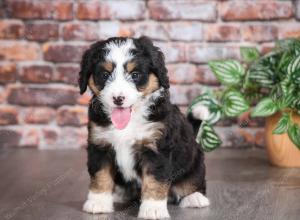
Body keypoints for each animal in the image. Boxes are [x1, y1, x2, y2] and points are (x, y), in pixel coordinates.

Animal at [78, 37, 209, 219]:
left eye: (135, 75)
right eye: (105, 75)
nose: (118, 98)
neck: (129, 121)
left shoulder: (156, 148)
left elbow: (154, 181)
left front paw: (153, 209)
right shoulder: (100, 145)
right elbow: (100, 175)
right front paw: (98, 202)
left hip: (194, 162)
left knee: (194, 181)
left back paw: (194, 197)